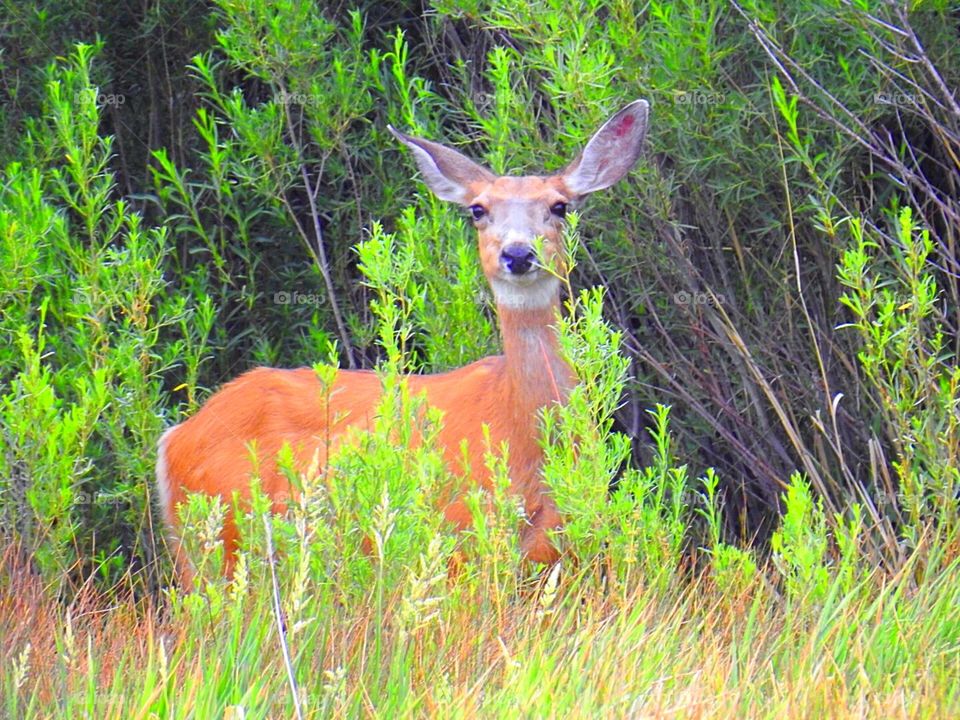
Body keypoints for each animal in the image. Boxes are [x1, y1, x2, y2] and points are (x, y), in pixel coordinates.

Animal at [155, 99, 649, 584]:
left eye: (560, 206)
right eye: (478, 209)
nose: (517, 253)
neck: (522, 433)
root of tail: (174, 437)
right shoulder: (457, 541)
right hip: (218, 537)